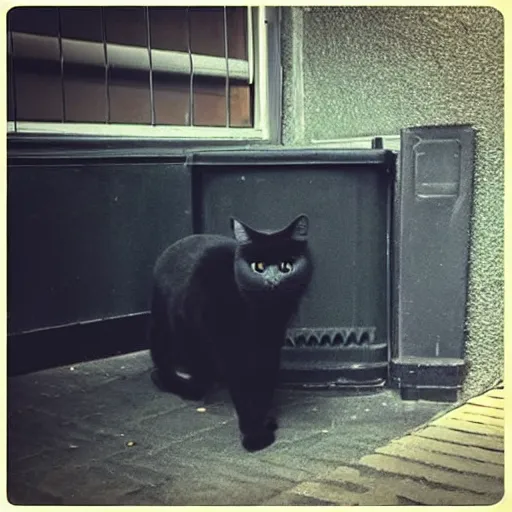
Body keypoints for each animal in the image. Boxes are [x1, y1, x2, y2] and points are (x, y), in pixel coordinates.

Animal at [148, 216, 312, 452]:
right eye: (258, 267)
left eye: (286, 266)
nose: (272, 281)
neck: (260, 315)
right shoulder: (230, 349)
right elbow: (243, 391)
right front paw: (254, 435)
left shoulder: (270, 346)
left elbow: (263, 386)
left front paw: (264, 421)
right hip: (173, 337)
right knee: (190, 382)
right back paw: (164, 378)